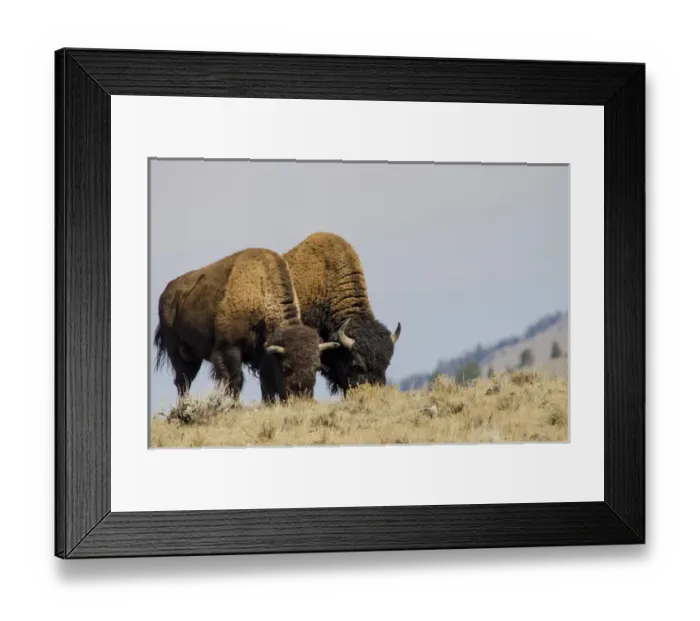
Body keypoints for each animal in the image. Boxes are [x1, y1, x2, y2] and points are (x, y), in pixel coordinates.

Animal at [154, 247, 341, 404]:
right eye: (286, 367)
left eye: (316, 367)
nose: (301, 398)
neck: (261, 294)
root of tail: (166, 293)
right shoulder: (229, 348)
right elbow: (234, 379)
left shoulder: (264, 354)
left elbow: (266, 383)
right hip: (177, 352)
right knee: (183, 380)